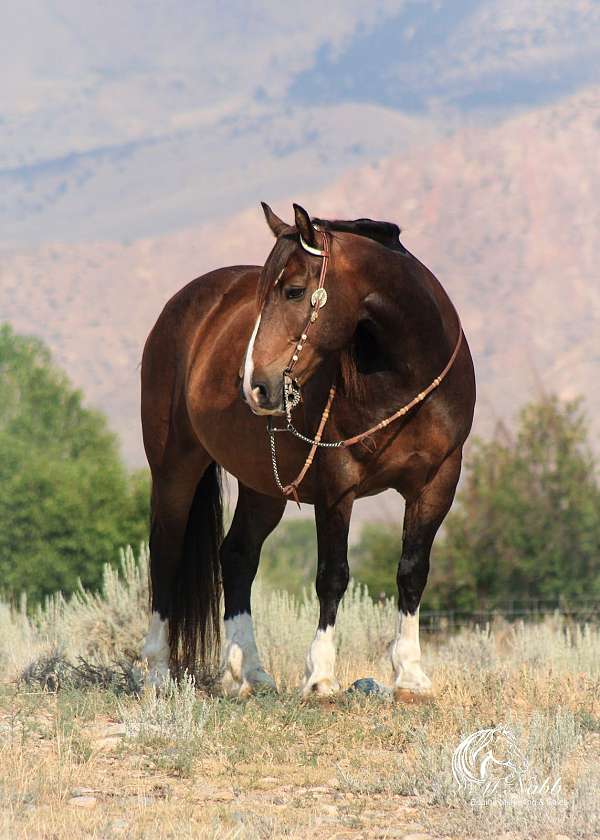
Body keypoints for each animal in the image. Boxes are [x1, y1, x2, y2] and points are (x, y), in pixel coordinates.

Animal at [141, 202, 474, 696]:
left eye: (295, 291)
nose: (253, 385)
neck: (403, 377)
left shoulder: (437, 483)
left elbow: (412, 571)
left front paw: (410, 674)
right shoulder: (337, 484)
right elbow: (332, 575)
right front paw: (320, 675)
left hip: (264, 486)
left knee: (237, 556)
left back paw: (248, 674)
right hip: (174, 468)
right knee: (165, 551)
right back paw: (158, 673)